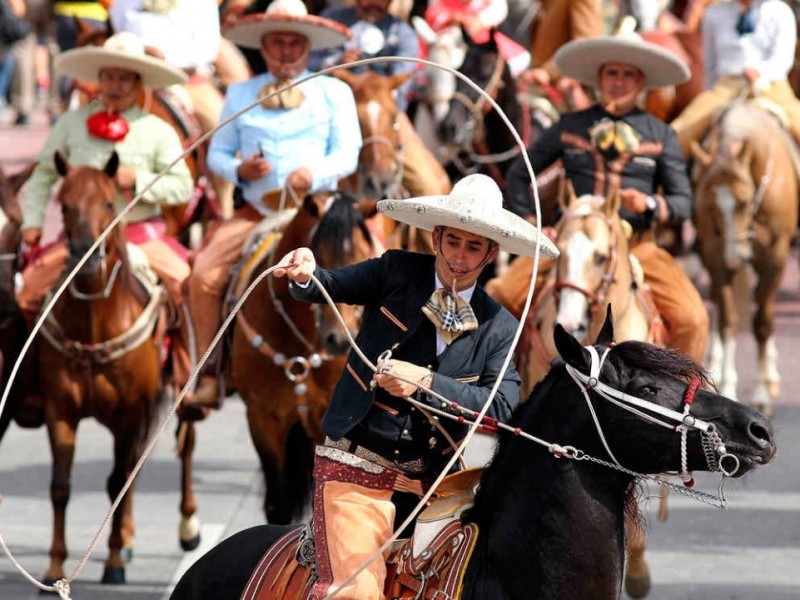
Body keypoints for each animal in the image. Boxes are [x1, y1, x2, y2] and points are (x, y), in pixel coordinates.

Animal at [38, 151, 170, 584]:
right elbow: (60, 486)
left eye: (111, 203)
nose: (86, 255)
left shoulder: (131, 415)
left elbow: (117, 484)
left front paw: (113, 561)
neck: (94, 328)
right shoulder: (59, 410)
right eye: (64, 206)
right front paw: (54, 566)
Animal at [227, 190, 374, 524]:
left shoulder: (324, 421)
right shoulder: (263, 419)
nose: (339, 340)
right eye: (318, 254)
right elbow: (278, 502)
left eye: (366, 256)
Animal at [692, 99, 796, 418]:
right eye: (711, 208)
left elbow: (762, 321)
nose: (735, 258)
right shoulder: (714, 253)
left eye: (745, 202)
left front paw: (761, 392)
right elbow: (728, 320)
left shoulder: (775, 257)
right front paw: (727, 388)